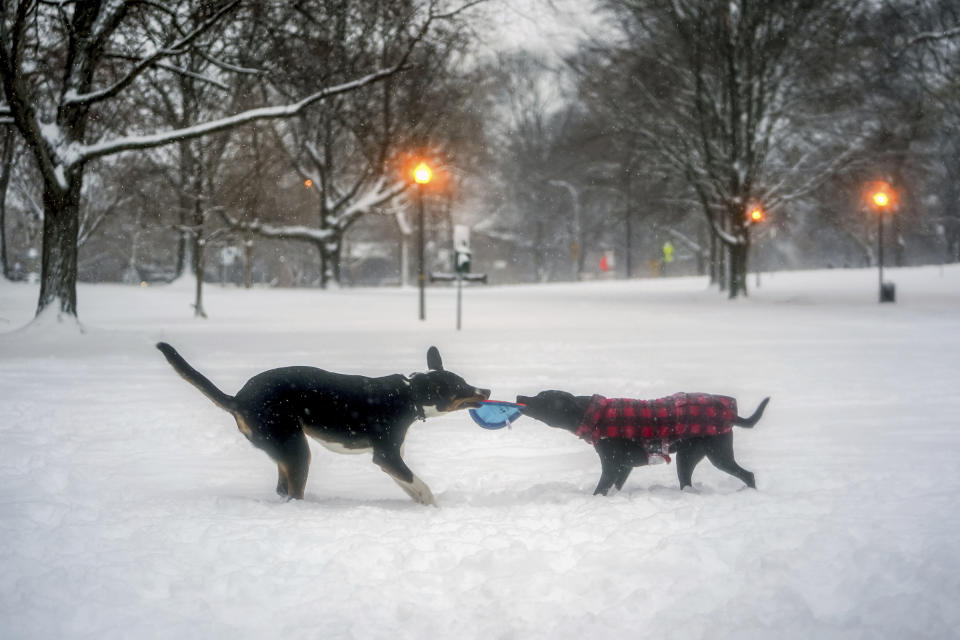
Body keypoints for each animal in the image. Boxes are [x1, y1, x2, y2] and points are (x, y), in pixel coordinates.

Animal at [159, 344, 488, 504]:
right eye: (461, 387)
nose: (486, 391)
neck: (408, 394)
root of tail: (237, 399)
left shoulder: (391, 460)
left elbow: (413, 489)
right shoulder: (387, 456)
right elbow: (423, 487)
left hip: (284, 450)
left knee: (283, 490)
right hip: (295, 448)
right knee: (293, 492)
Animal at [512, 390, 768, 496]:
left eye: (542, 398)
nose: (519, 397)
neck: (593, 415)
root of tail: (732, 414)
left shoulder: (612, 466)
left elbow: (600, 489)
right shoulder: (624, 467)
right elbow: (614, 487)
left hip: (717, 455)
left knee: (749, 475)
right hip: (688, 457)